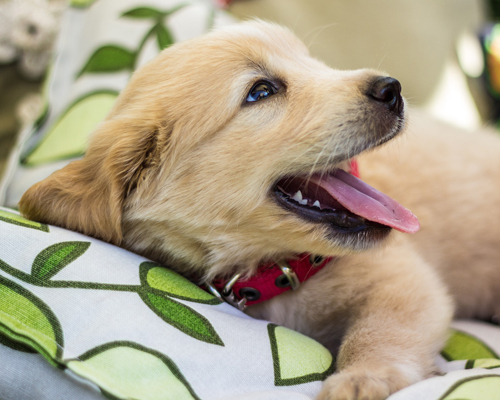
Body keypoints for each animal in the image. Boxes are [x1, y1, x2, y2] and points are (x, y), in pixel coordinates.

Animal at [17, 21, 500, 400]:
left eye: (313, 62)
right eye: (261, 91)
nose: (392, 88)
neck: (278, 269)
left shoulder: (403, 281)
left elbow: (380, 330)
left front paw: (363, 377)